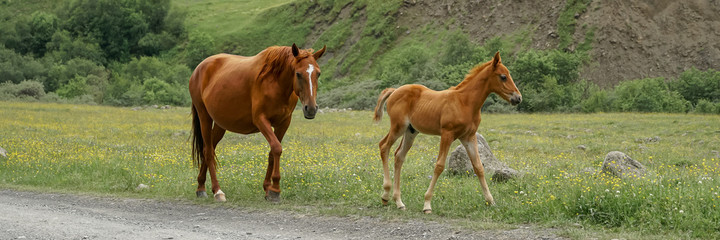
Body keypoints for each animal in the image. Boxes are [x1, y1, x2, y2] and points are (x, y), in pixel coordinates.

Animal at [374, 51, 520, 213]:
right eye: (503, 76)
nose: (518, 98)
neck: (465, 102)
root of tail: (394, 91)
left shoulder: (469, 137)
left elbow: (479, 167)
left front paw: (490, 201)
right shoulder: (447, 134)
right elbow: (439, 166)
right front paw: (427, 204)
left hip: (410, 132)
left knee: (399, 156)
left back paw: (399, 201)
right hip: (398, 127)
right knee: (384, 146)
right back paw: (385, 195)